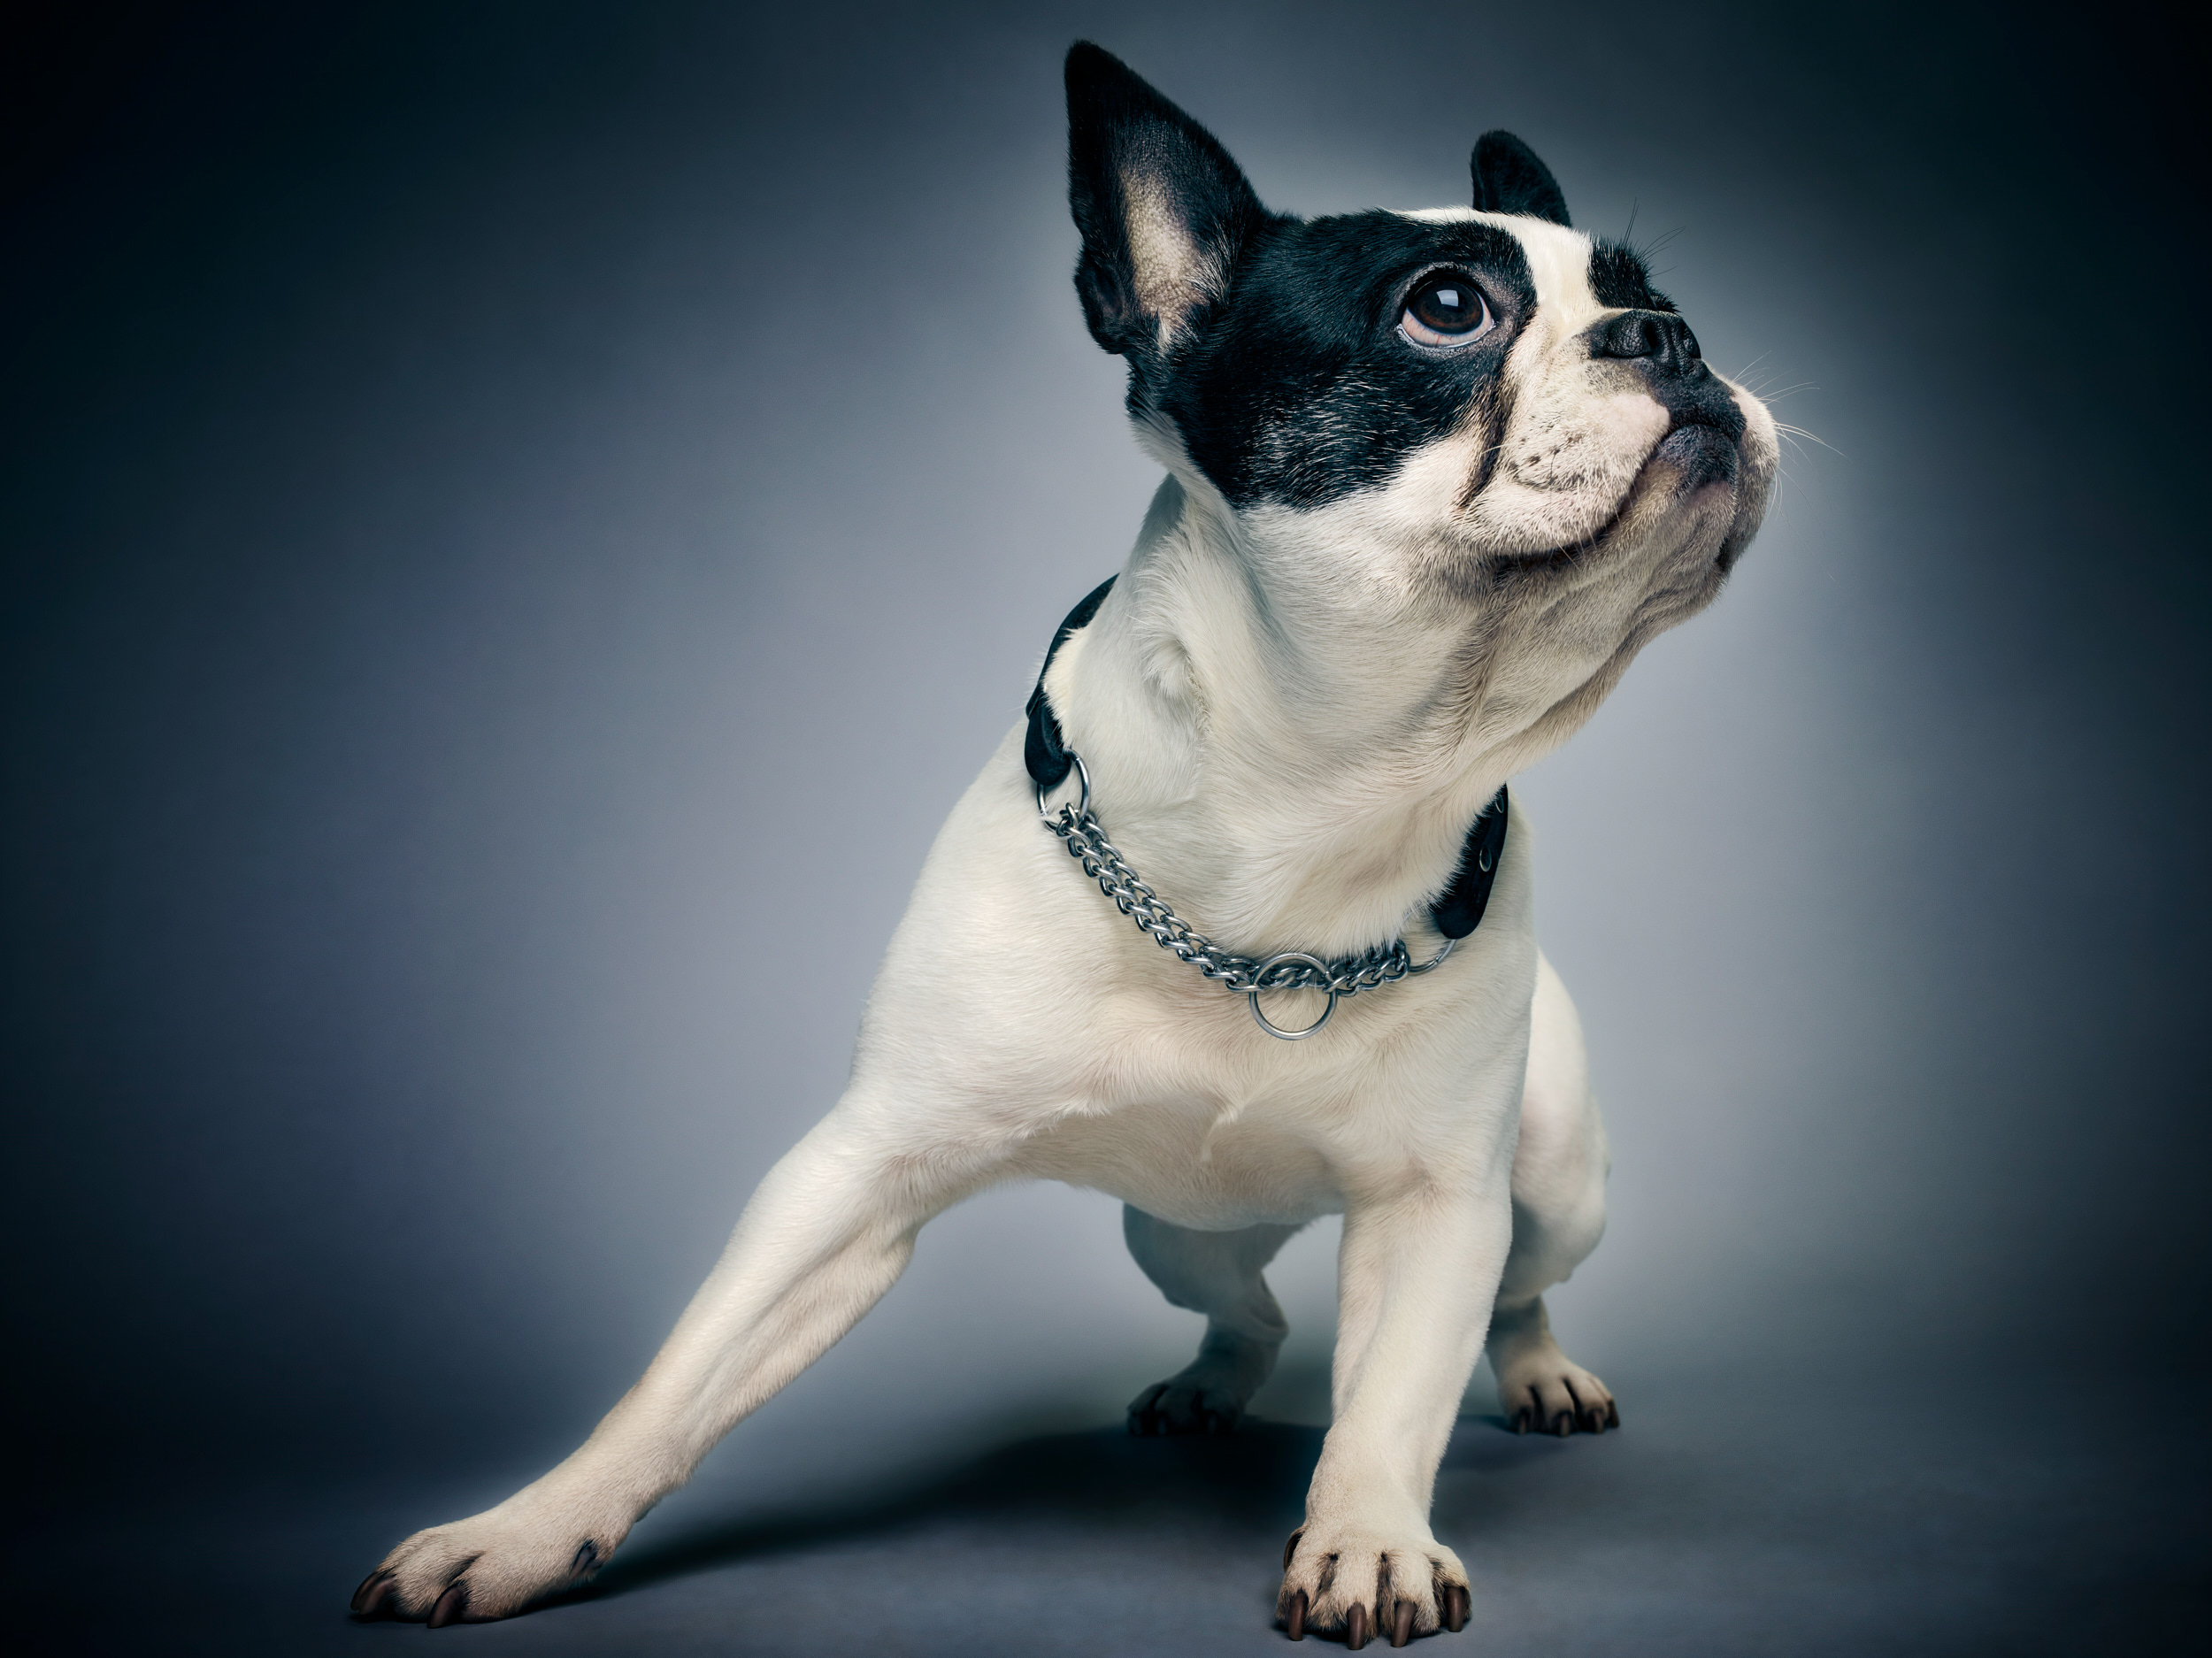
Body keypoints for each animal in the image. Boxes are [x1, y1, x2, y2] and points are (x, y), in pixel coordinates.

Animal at [354, 39, 1787, 1654]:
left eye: (1650, 288)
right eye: (1446, 308)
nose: (1669, 334)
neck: (1314, 808)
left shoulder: (1437, 1206)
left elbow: (1394, 1399)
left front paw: (1365, 1534)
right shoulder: (856, 1170)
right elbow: (677, 1379)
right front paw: (526, 1529)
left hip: (1556, 1182)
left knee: (1507, 1295)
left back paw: (1534, 1371)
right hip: (1171, 1229)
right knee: (1247, 1305)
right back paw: (1211, 1382)